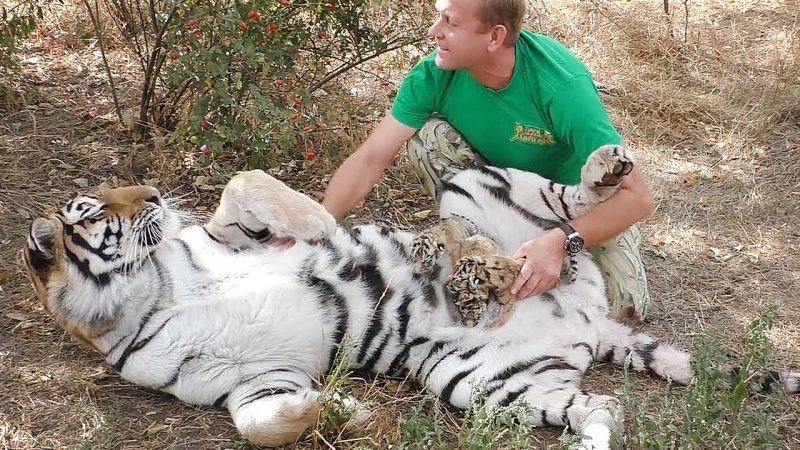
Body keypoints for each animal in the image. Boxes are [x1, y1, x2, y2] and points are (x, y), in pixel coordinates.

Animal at [21, 146, 796, 448]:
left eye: (117, 194)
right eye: (97, 208)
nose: (152, 193)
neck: (149, 293)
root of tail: (594, 320)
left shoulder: (232, 236)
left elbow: (248, 187)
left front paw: (324, 228)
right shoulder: (247, 380)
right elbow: (262, 423)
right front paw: (347, 411)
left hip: (476, 188)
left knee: (569, 213)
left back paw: (602, 171)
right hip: (489, 384)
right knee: (600, 408)